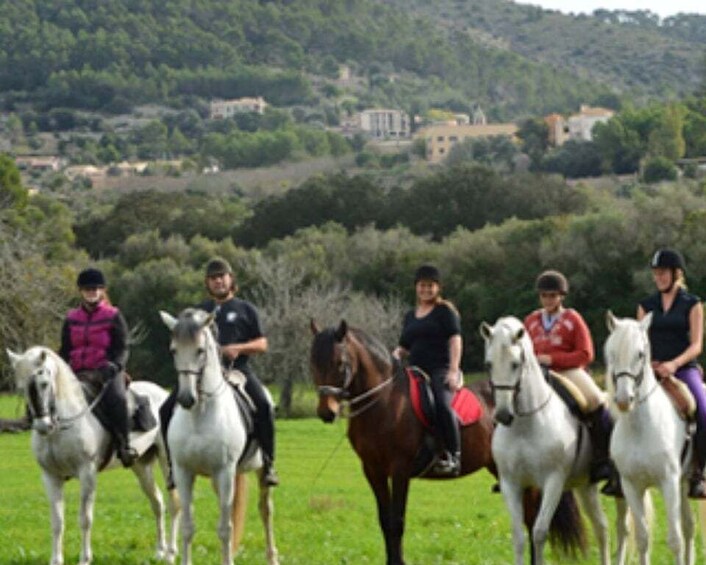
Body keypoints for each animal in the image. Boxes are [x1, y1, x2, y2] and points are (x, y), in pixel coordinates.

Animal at [5, 344, 179, 564]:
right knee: (157, 502)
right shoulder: (51, 477)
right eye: (21, 387)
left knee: (174, 504)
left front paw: (85, 559)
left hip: (167, 462)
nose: (43, 426)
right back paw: (160, 551)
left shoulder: (87, 473)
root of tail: (162, 394)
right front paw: (56, 560)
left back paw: (171, 553)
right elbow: (57, 521)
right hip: (141, 466)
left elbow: (85, 519)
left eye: (44, 383)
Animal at [160, 308, 278, 564]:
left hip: (258, 471)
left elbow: (225, 528)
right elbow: (188, 527)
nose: (186, 398)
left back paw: (272, 557)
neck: (199, 414)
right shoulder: (184, 472)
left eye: (200, 350)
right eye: (173, 350)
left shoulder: (224, 471)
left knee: (265, 510)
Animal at [308, 320, 496, 564]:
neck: (384, 401)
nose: (326, 412)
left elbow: (397, 521)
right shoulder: (373, 470)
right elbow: (385, 520)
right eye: (312, 362)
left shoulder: (400, 469)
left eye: (340, 363)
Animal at [478, 318, 628, 564]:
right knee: (602, 527)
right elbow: (519, 536)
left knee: (623, 527)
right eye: (489, 364)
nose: (503, 415)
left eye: (515, 364)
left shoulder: (553, 482)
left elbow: (539, 532)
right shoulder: (512, 484)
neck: (525, 425)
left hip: (623, 485)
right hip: (585, 486)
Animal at [604, 310, 696, 564]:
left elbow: (674, 540)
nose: (624, 400)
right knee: (689, 526)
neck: (641, 429)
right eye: (611, 353)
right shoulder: (631, 485)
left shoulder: (668, 482)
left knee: (686, 529)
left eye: (640, 354)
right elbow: (643, 538)